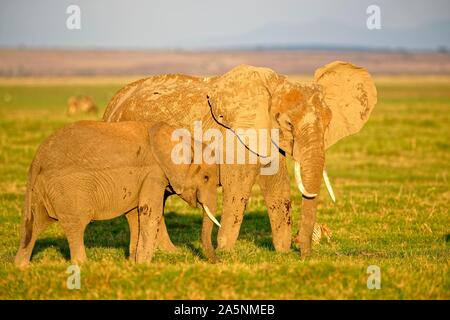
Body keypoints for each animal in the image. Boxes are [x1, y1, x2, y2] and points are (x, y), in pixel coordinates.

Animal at [13, 120, 218, 268]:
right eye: (206, 177)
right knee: (76, 225)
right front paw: (144, 265)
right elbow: (151, 214)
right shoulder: (153, 173)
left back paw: (20, 267)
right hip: (68, 189)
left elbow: (136, 215)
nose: (217, 261)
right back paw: (82, 265)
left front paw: (135, 264)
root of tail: (38, 158)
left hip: (39, 189)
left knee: (35, 224)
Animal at [102, 62, 376, 258]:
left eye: (329, 123)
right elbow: (239, 185)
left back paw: (170, 253)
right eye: (288, 124)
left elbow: (277, 187)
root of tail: (111, 104)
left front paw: (282, 252)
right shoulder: (233, 134)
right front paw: (226, 252)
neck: (276, 84)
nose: (304, 253)